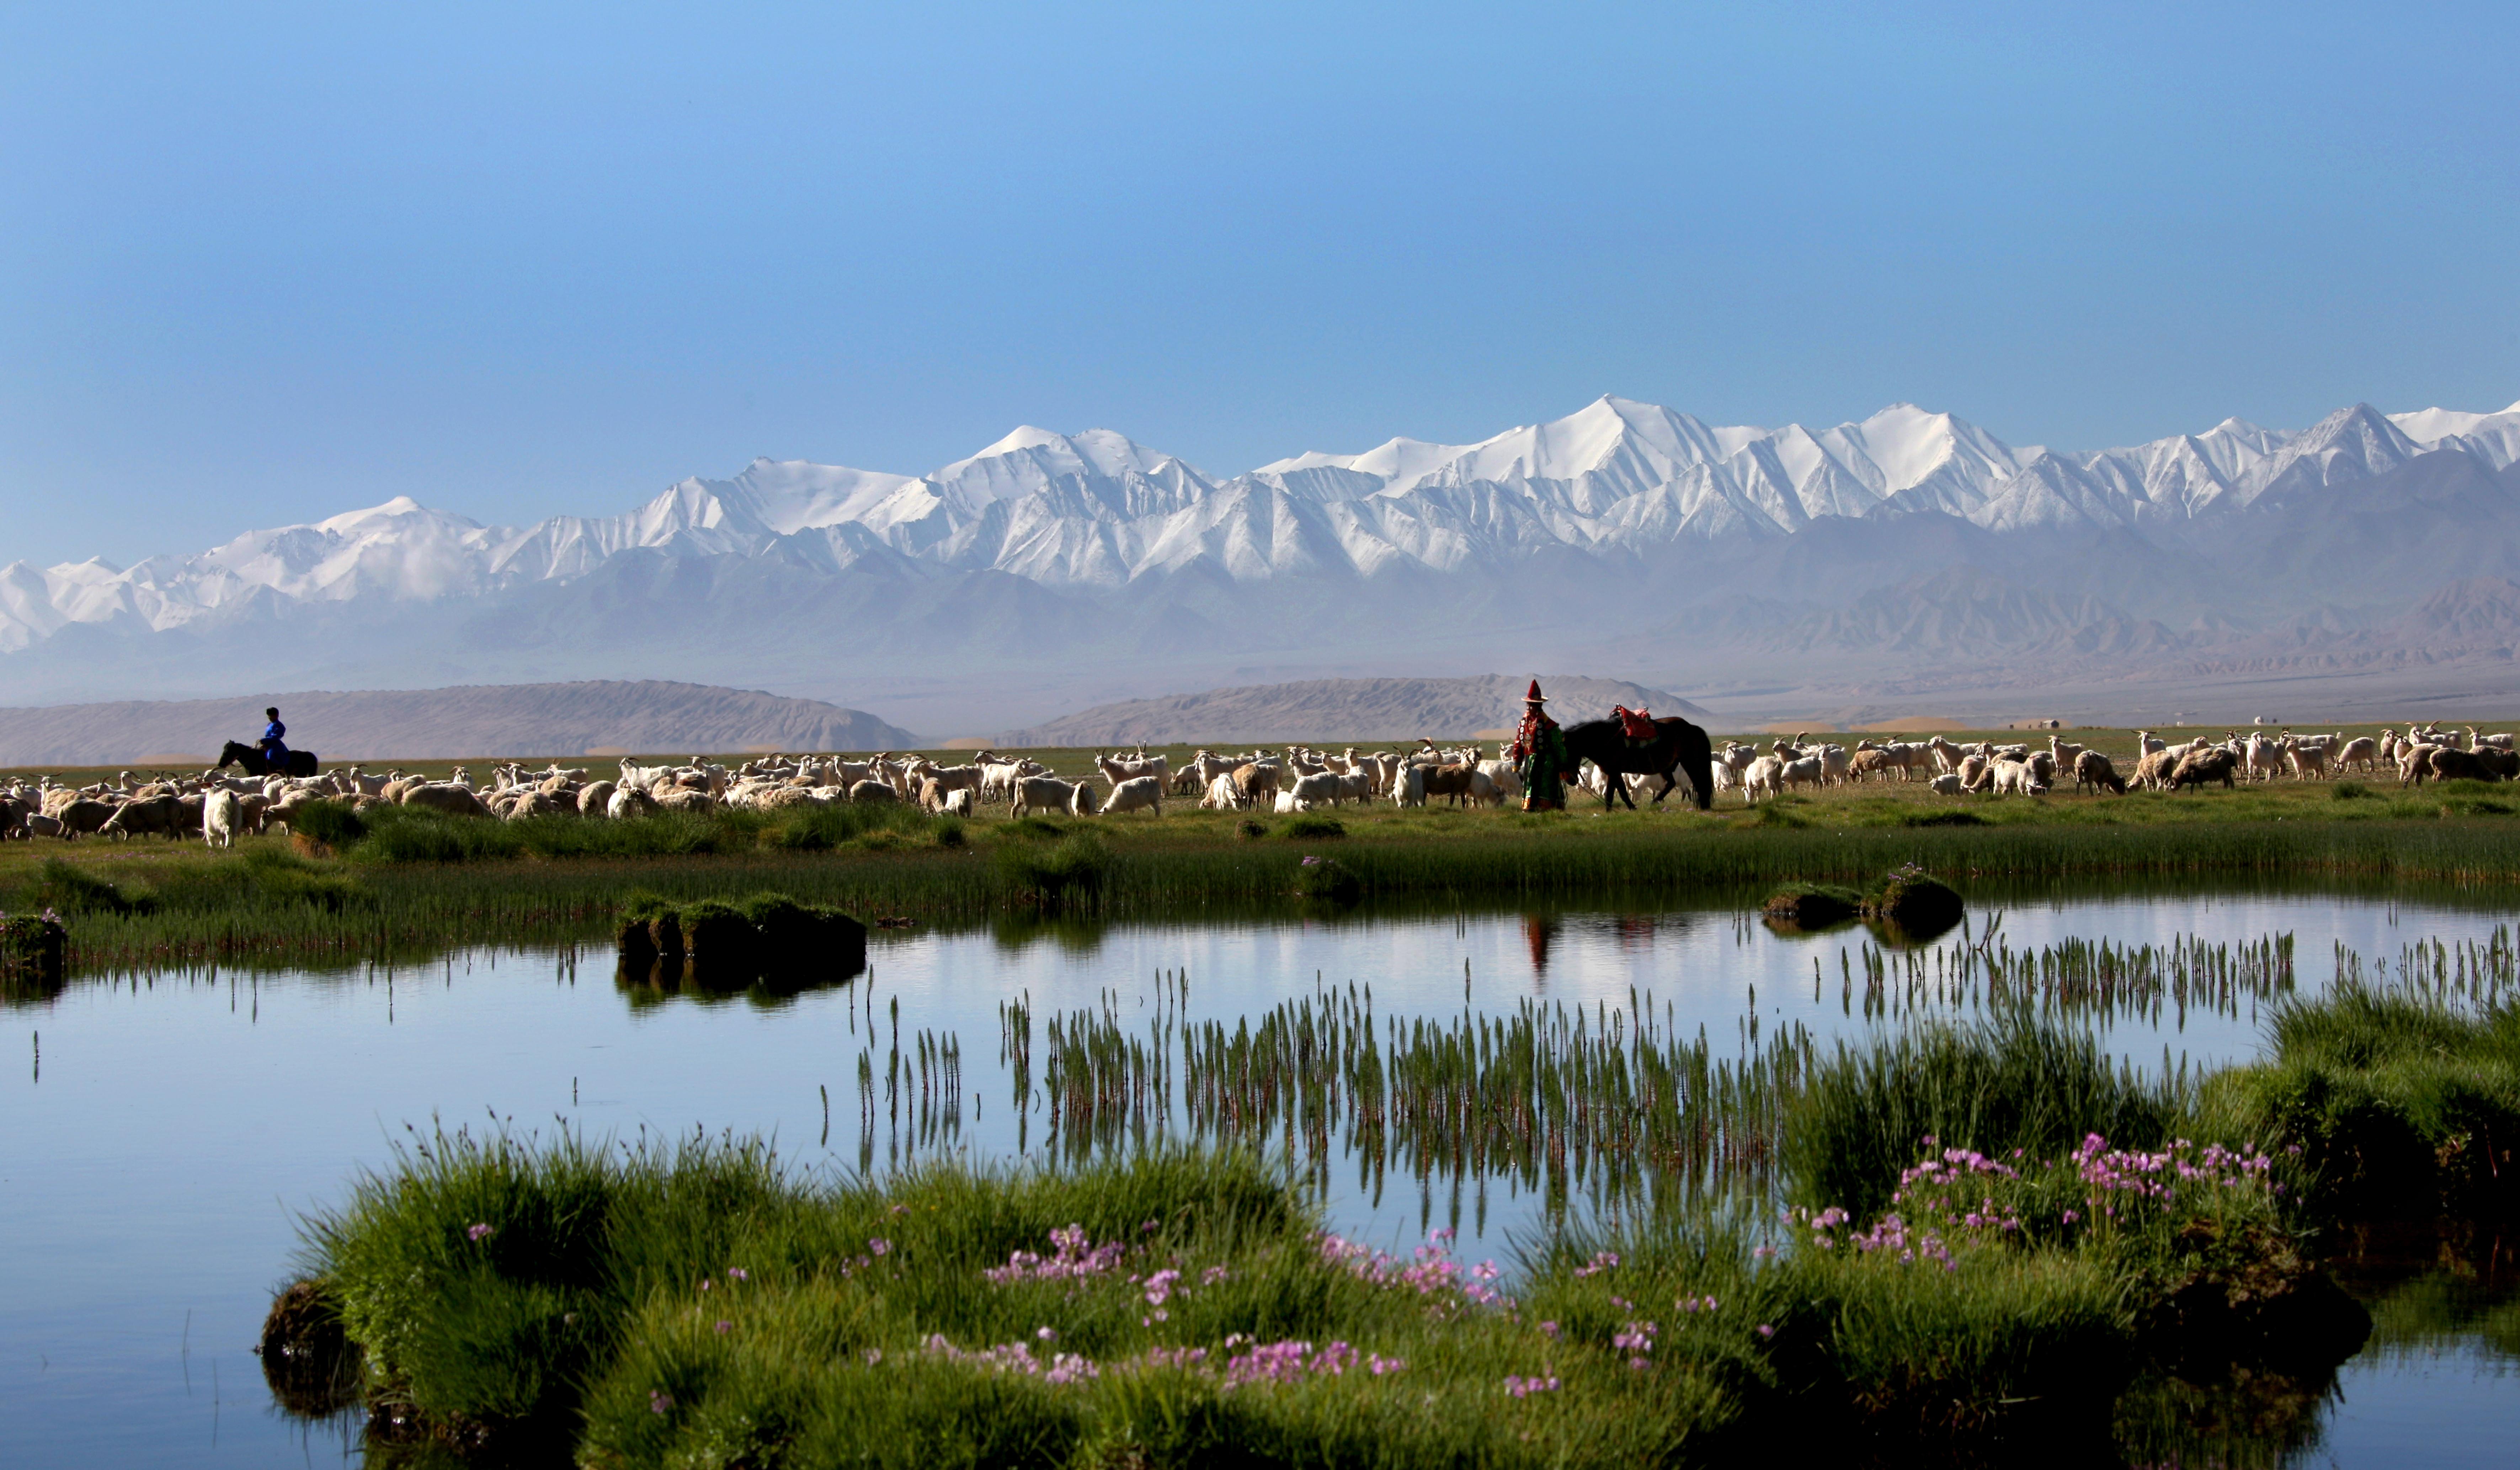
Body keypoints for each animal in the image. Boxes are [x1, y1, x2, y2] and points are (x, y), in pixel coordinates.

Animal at [1562, 716, 1723, 817]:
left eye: (1564, 752)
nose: (1569, 780)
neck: (1605, 741)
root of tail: (1692, 728)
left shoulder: (1613, 771)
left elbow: (1613, 792)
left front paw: (1615, 810)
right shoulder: (1614, 772)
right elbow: (1619, 791)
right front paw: (1626, 808)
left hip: (1689, 761)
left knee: (1698, 781)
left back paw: (1704, 805)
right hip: (1668, 766)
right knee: (1671, 783)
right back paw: (1655, 802)